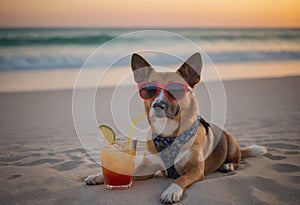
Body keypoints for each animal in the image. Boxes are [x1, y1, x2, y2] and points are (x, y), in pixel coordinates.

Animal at [85, 52, 268, 203]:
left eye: (175, 89)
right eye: (149, 90)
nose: (158, 105)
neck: (167, 135)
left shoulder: (196, 170)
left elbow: (181, 179)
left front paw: (172, 191)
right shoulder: (146, 167)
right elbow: (125, 171)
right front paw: (98, 176)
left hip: (231, 141)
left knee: (237, 159)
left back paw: (228, 165)